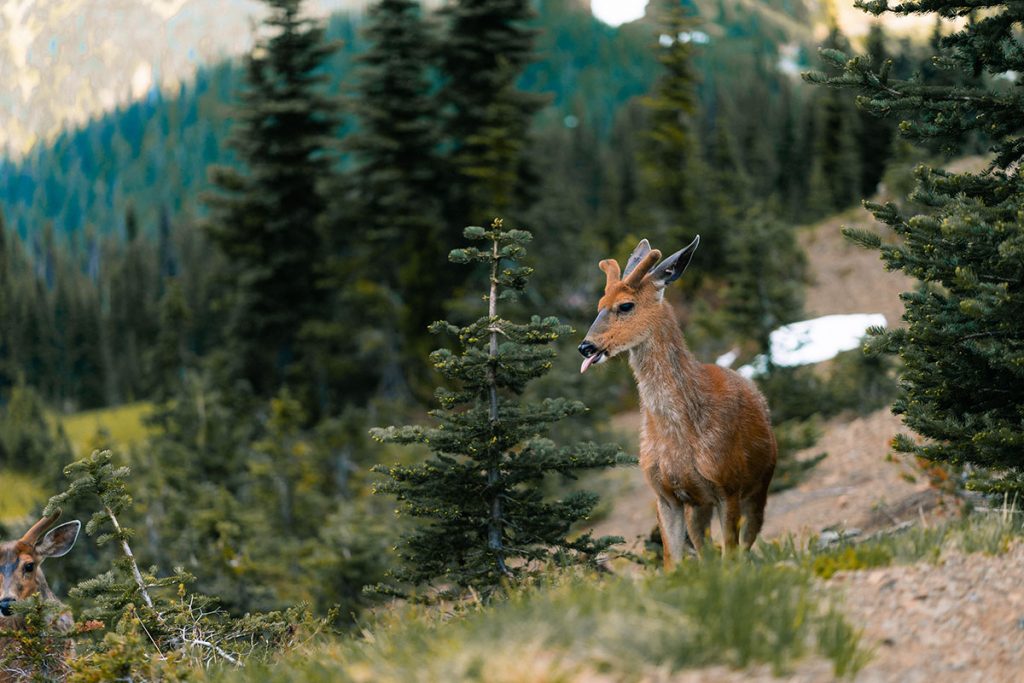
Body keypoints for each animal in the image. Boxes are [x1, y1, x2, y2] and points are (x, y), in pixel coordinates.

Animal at [577, 240, 774, 565]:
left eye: (626, 305)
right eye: (599, 305)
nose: (586, 346)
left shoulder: (727, 485)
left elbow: (730, 556)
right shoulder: (665, 495)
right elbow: (673, 561)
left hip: (760, 484)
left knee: (747, 541)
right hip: (699, 505)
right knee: (706, 548)